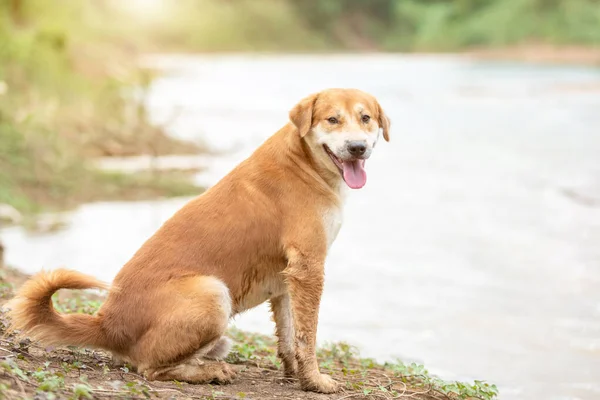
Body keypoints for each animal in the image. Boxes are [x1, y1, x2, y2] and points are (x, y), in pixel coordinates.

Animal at [7, 88, 392, 394]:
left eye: (366, 118)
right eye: (332, 119)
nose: (357, 148)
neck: (305, 162)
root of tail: (107, 324)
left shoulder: (289, 276)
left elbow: (288, 335)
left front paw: (294, 374)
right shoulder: (309, 267)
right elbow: (307, 336)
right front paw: (315, 382)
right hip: (212, 293)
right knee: (149, 368)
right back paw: (210, 372)